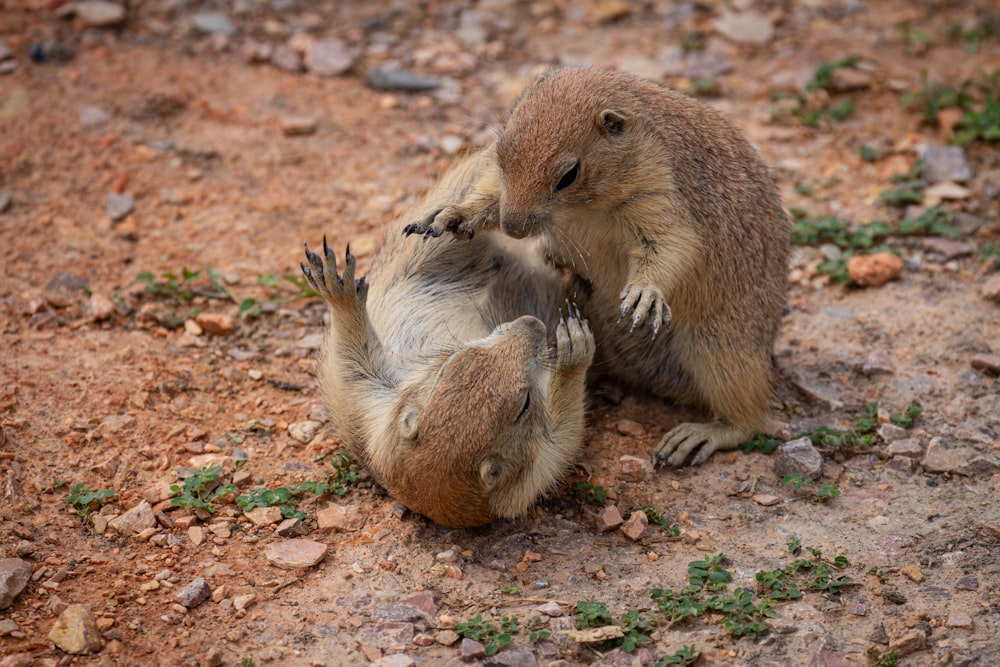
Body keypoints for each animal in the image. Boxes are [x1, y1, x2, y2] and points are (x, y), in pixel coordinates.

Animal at [300, 149, 588, 528]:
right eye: (525, 404)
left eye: (451, 362)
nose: (533, 324)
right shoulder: (369, 412)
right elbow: (352, 362)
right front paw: (575, 348)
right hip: (425, 252)